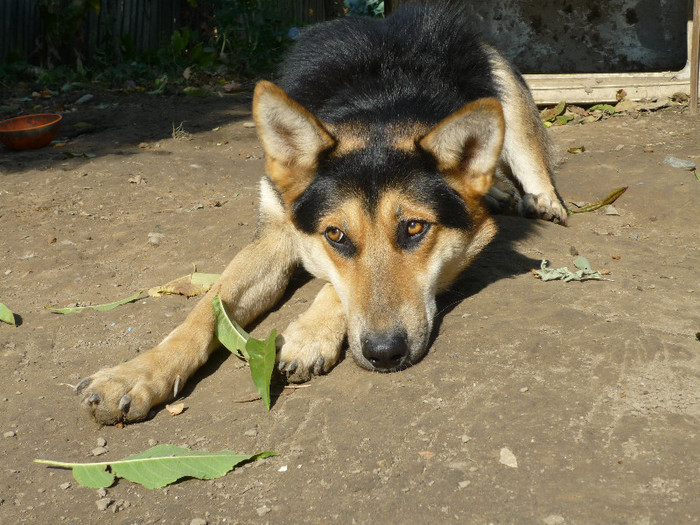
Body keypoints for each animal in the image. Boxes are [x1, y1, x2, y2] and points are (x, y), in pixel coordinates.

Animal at [78, 6, 568, 424]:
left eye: (414, 227)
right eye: (336, 235)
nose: (385, 354)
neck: (378, 104)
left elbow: (335, 288)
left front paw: (309, 334)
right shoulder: (276, 230)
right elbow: (204, 309)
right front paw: (137, 373)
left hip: (507, 91)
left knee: (528, 156)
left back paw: (537, 199)